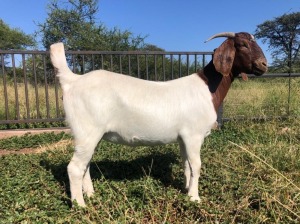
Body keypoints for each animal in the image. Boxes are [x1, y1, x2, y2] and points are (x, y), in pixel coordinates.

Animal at [49, 32, 268, 206]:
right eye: (242, 44)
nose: (263, 65)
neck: (207, 88)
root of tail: (73, 81)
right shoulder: (194, 135)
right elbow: (196, 165)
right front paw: (195, 198)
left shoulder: (183, 137)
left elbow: (186, 164)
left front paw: (186, 189)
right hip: (87, 130)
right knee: (75, 167)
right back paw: (80, 205)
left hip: (89, 135)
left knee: (84, 165)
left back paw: (90, 194)